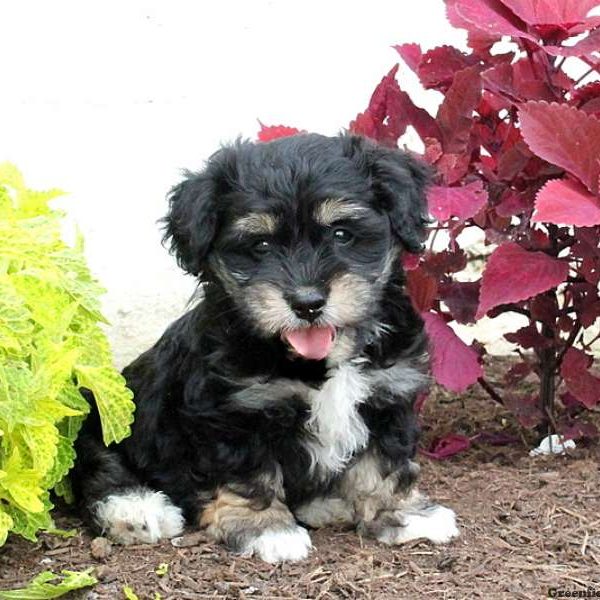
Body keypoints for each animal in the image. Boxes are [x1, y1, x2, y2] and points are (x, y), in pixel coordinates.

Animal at [74, 132, 460, 564]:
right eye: (259, 245)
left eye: (342, 234)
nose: (307, 303)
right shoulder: (234, 409)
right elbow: (248, 472)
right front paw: (266, 528)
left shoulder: (389, 392)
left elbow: (387, 461)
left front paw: (405, 513)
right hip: (104, 428)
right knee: (103, 470)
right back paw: (138, 510)